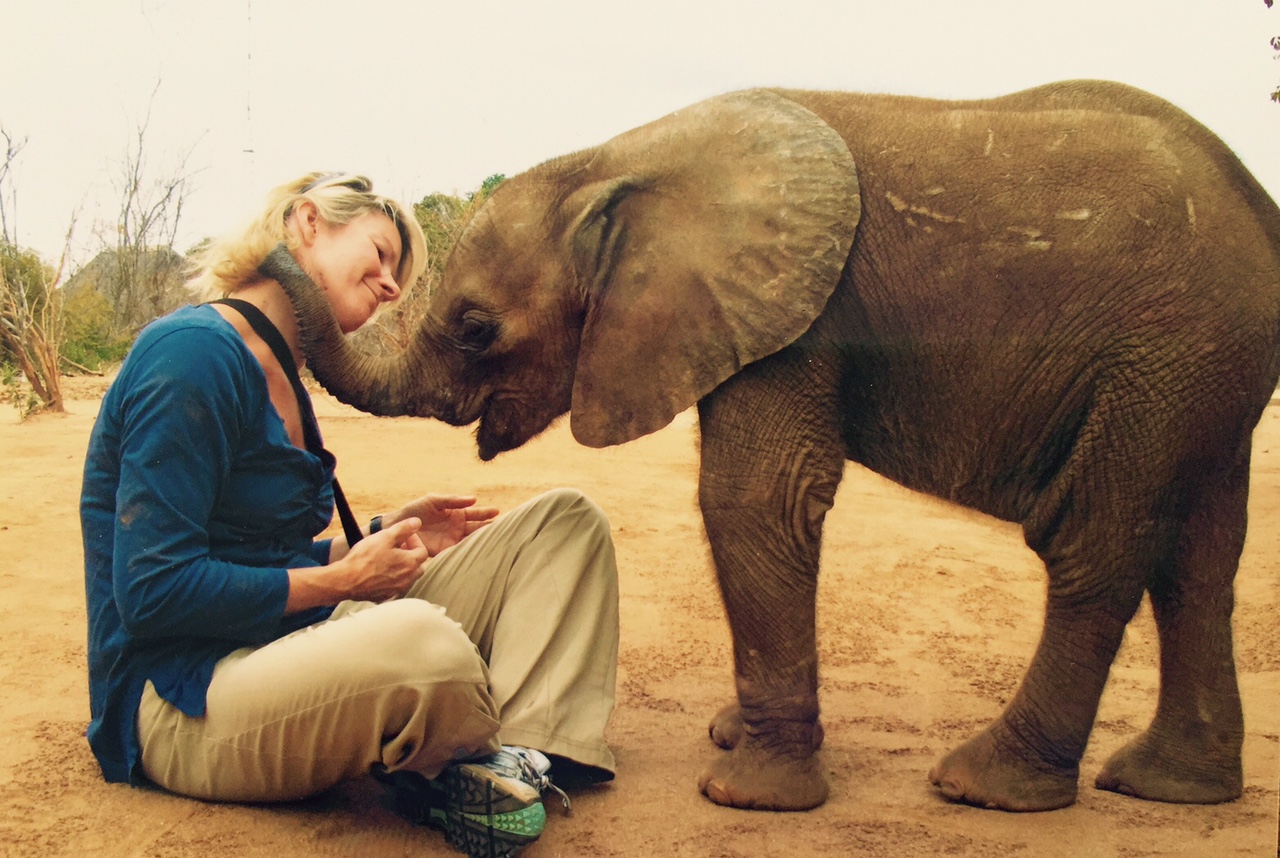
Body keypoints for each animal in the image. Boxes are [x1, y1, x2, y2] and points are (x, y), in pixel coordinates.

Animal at [262, 83, 1280, 814]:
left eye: (476, 328)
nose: (283, 233)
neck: (616, 162)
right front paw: (728, 737)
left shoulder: (797, 318)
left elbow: (753, 498)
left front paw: (743, 795)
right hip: (1198, 375)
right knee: (1198, 562)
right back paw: (1167, 787)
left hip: (1164, 353)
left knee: (1095, 547)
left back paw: (983, 787)